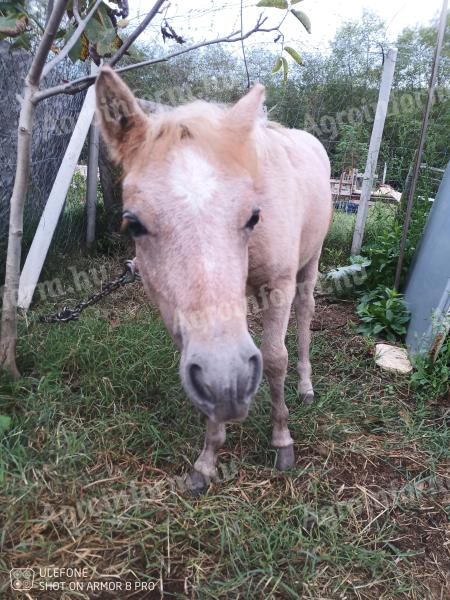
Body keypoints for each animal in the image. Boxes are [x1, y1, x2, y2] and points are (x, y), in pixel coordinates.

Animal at [96, 68, 330, 492]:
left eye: (253, 216)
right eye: (133, 223)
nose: (230, 384)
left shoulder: (279, 286)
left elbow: (275, 358)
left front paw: (282, 440)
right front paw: (207, 460)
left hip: (311, 261)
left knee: (305, 314)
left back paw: (305, 387)